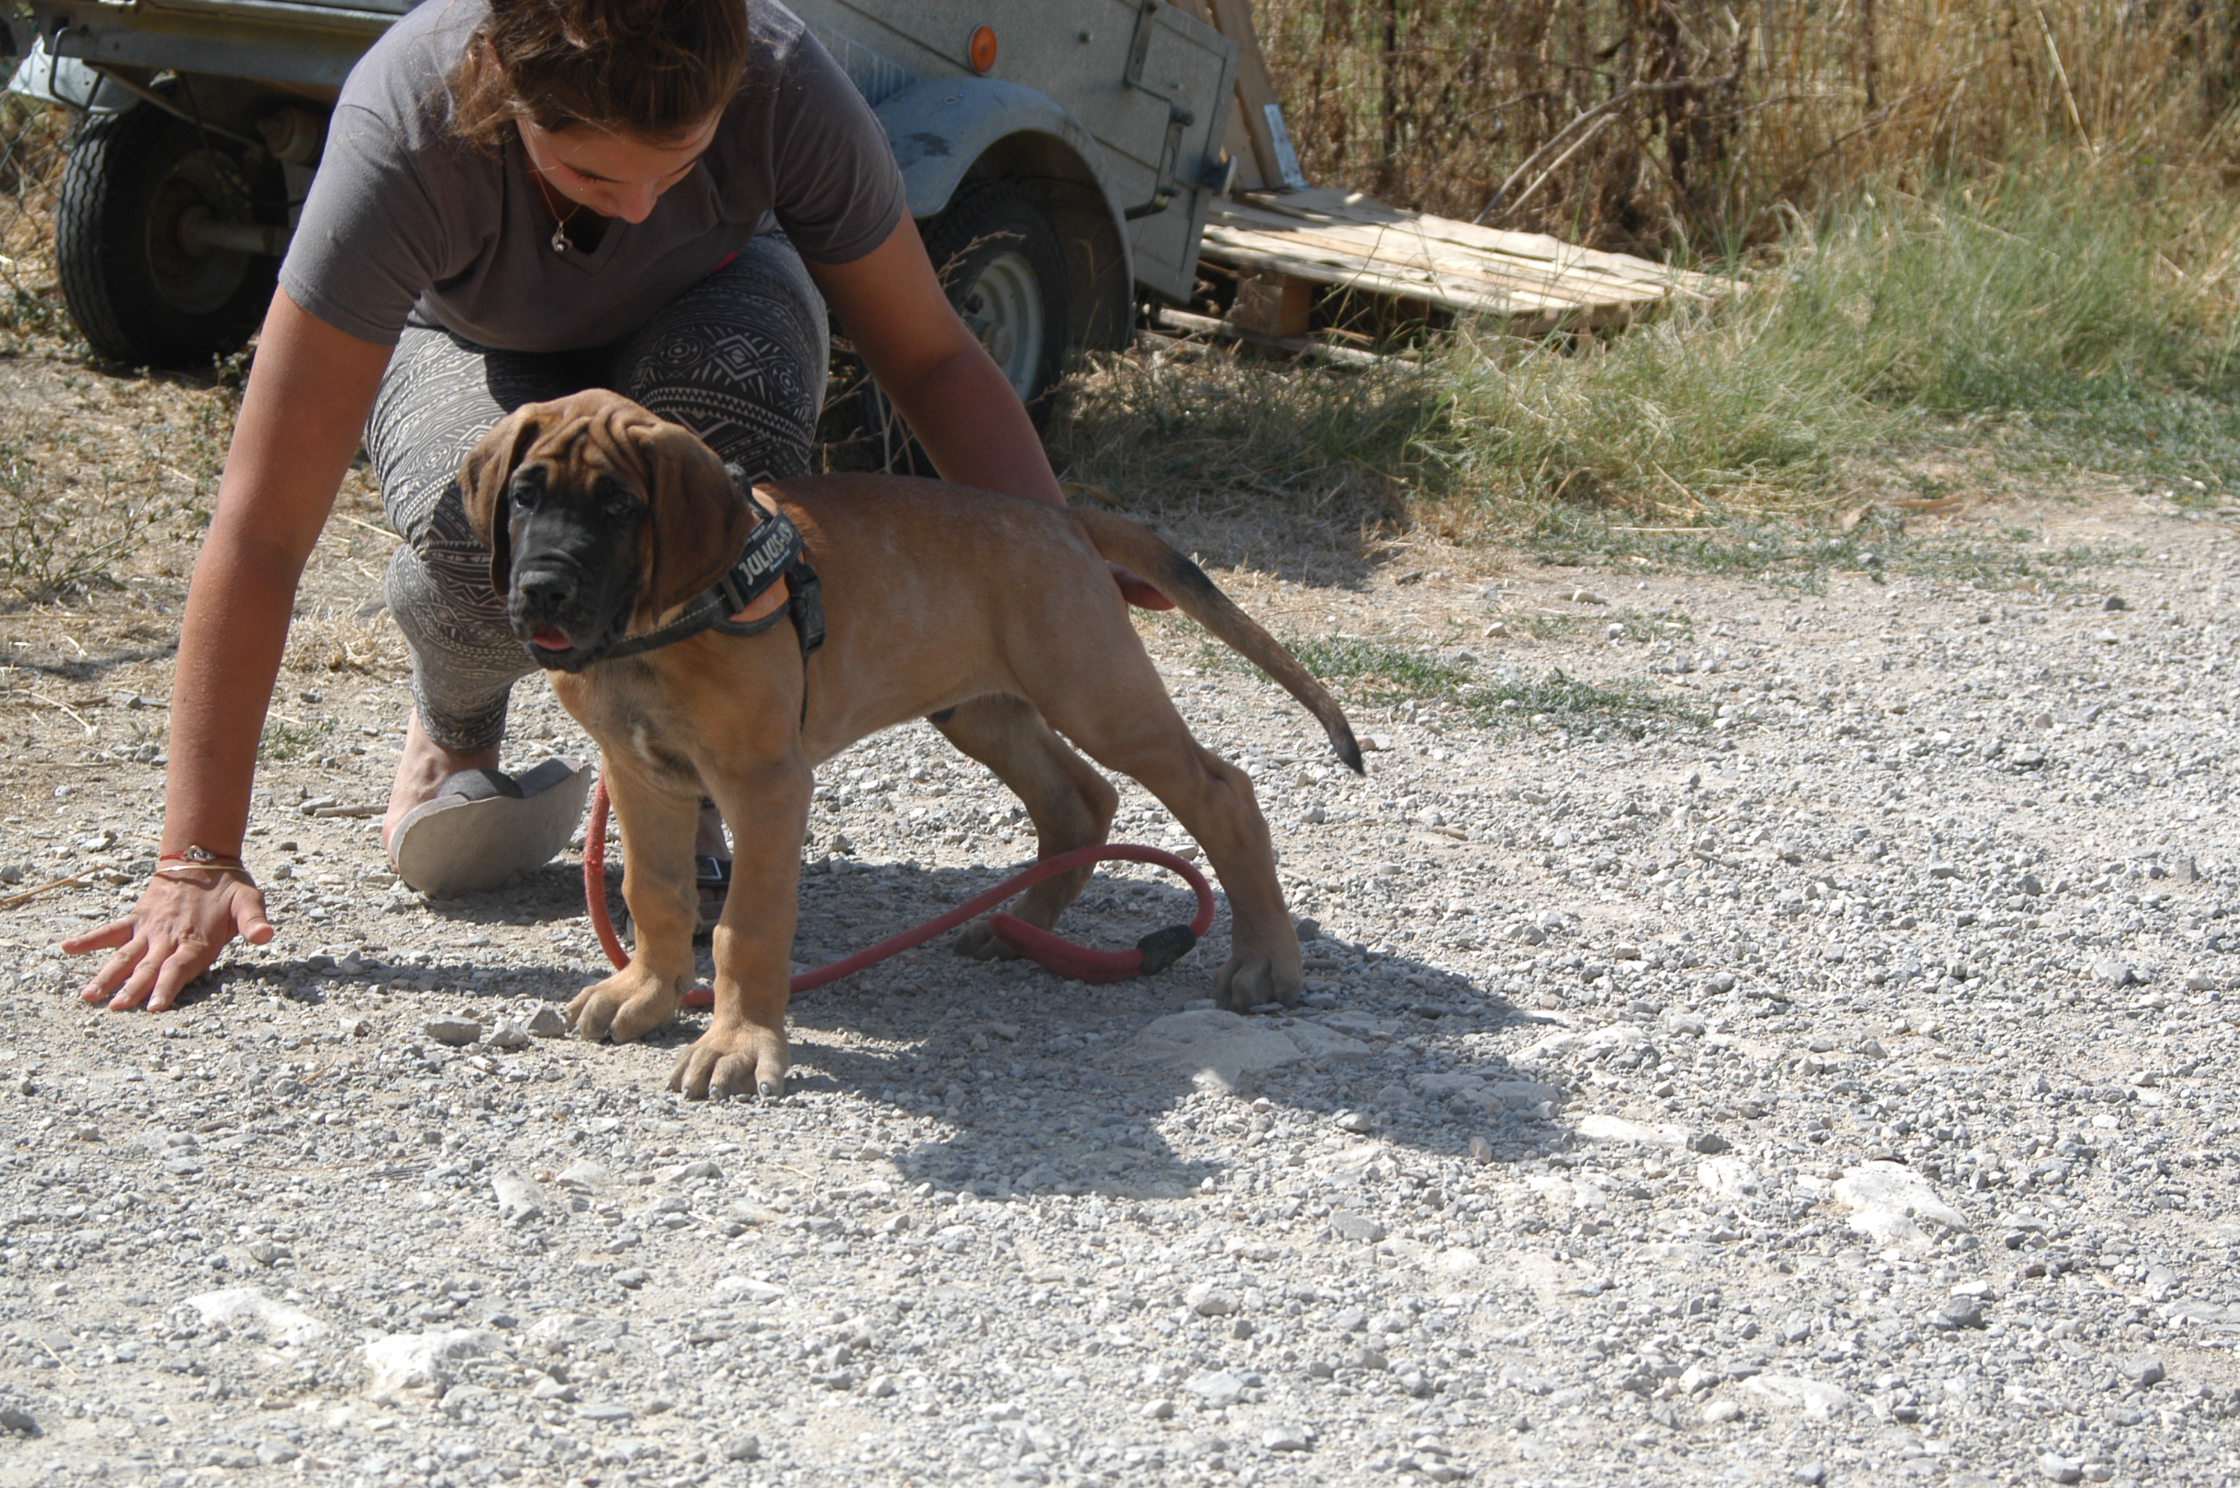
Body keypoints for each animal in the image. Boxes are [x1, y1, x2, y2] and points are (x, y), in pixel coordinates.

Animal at [461, 389, 1361, 1100]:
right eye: (523, 498)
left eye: (619, 507)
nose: (541, 588)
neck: (655, 630)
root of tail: (1060, 515)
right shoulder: (640, 773)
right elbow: (655, 892)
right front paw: (647, 991)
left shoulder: (767, 785)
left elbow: (746, 927)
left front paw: (738, 1043)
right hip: (981, 709)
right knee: (1079, 800)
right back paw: (1019, 927)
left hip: (1097, 696)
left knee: (1221, 793)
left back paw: (1266, 962)